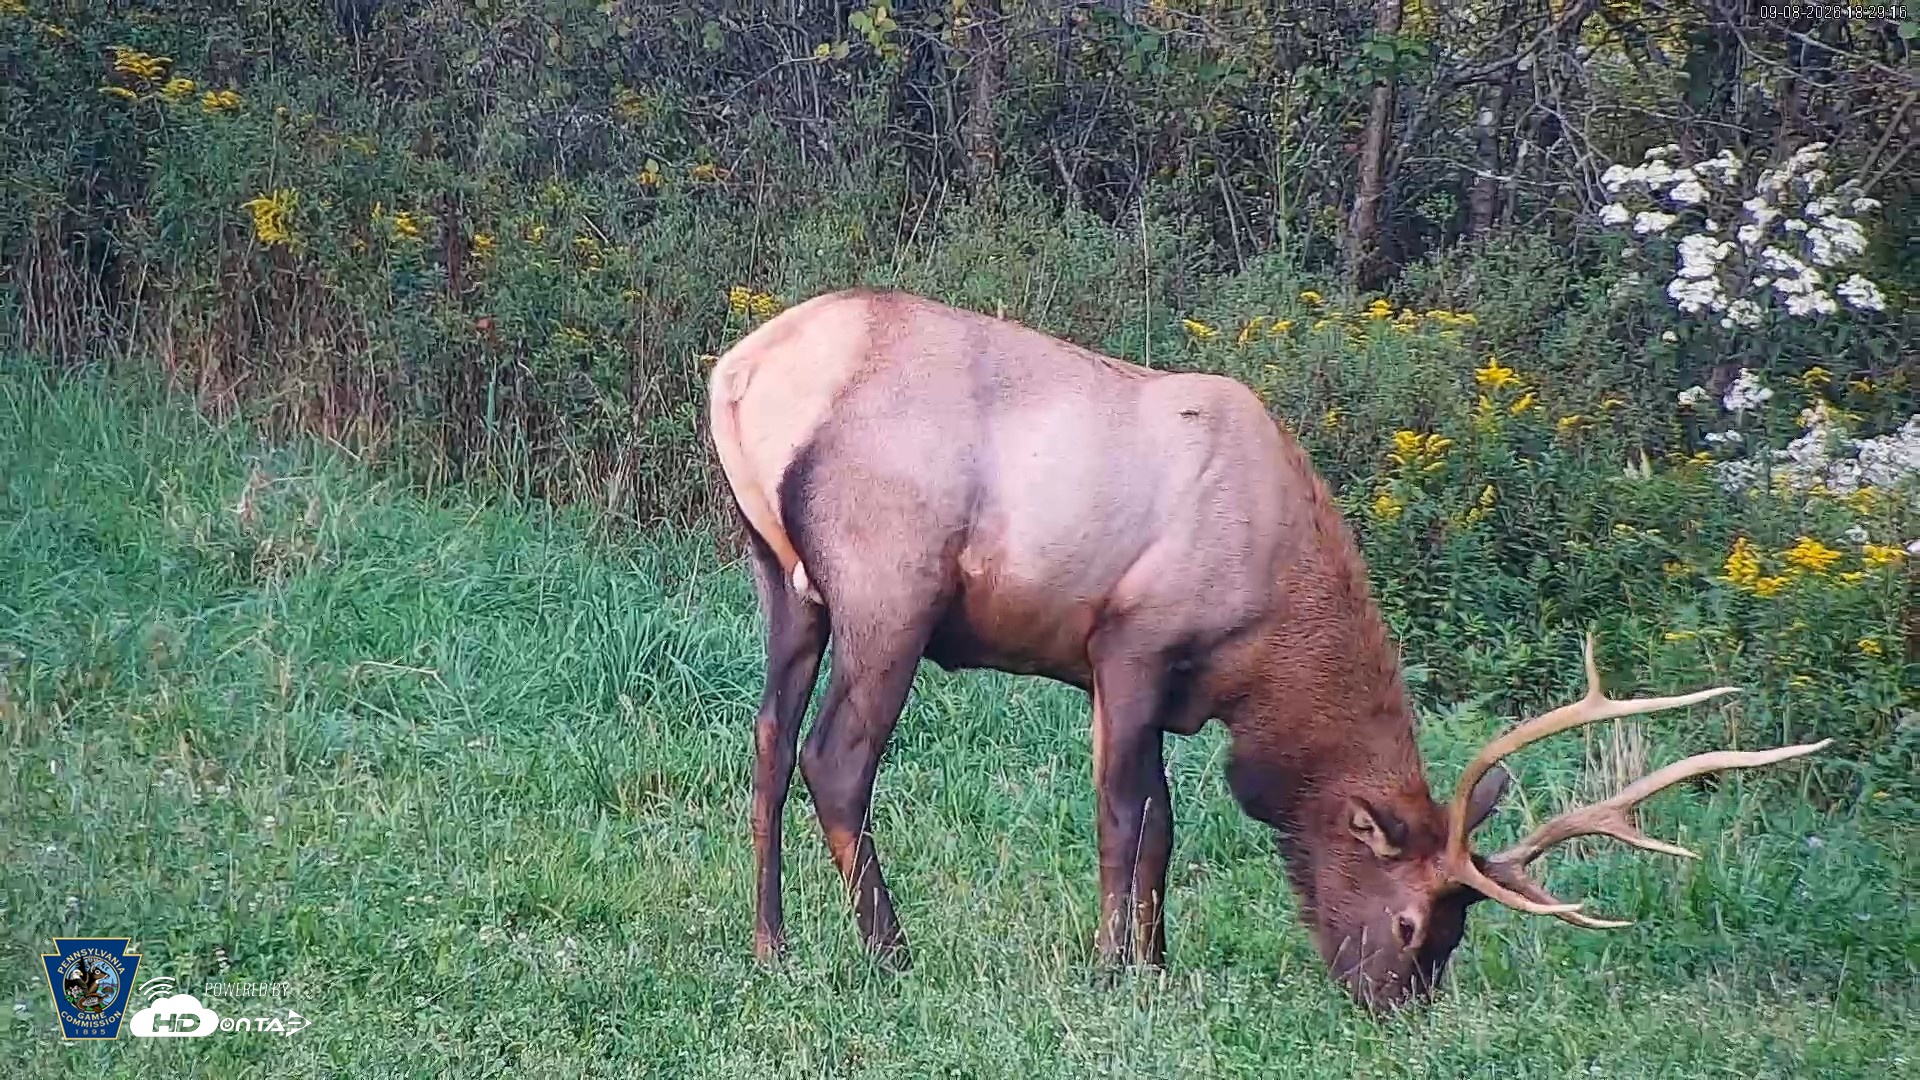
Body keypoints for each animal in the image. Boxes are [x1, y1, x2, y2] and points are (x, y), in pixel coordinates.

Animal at [705, 287, 1830, 1011]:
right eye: (1417, 926)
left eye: (1461, 932)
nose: (1394, 1009)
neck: (1274, 629)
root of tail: (739, 377)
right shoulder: (1131, 642)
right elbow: (1122, 819)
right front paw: (1112, 973)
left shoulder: (1157, 684)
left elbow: (1164, 827)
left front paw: (1157, 963)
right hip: (890, 583)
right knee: (835, 760)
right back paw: (892, 955)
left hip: (782, 583)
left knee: (765, 743)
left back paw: (771, 947)